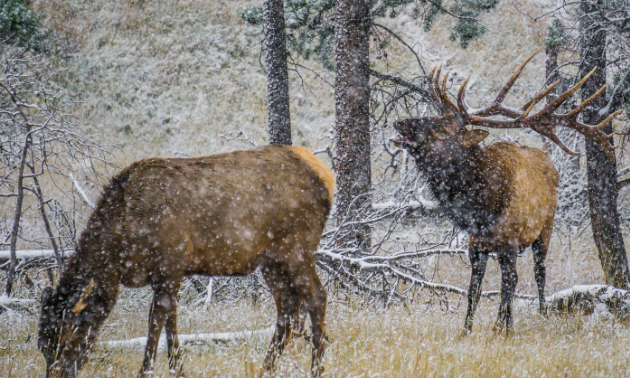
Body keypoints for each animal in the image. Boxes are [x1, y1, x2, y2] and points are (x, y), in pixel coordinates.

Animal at [38, 145, 336, 378]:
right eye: (42, 345)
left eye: (67, 332)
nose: (57, 372)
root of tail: (327, 177)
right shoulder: (170, 273)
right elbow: (171, 319)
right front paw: (178, 370)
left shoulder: (171, 263)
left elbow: (156, 319)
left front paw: (146, 372)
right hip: (272, 261)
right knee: (287, 307)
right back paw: (266, 370)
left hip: (297, 248)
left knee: (317, 296)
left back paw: (316, 370)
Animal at [396, 50, 624, 334]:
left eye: (441, 129)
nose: (400, 122)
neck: (482, 208)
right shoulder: (476, 245)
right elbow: (473, 291)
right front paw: (466, 331)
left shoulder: (511, 241)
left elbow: (508, 285)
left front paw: (501, 331)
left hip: (545, 229)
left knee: (538, 272)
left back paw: (539, 315)